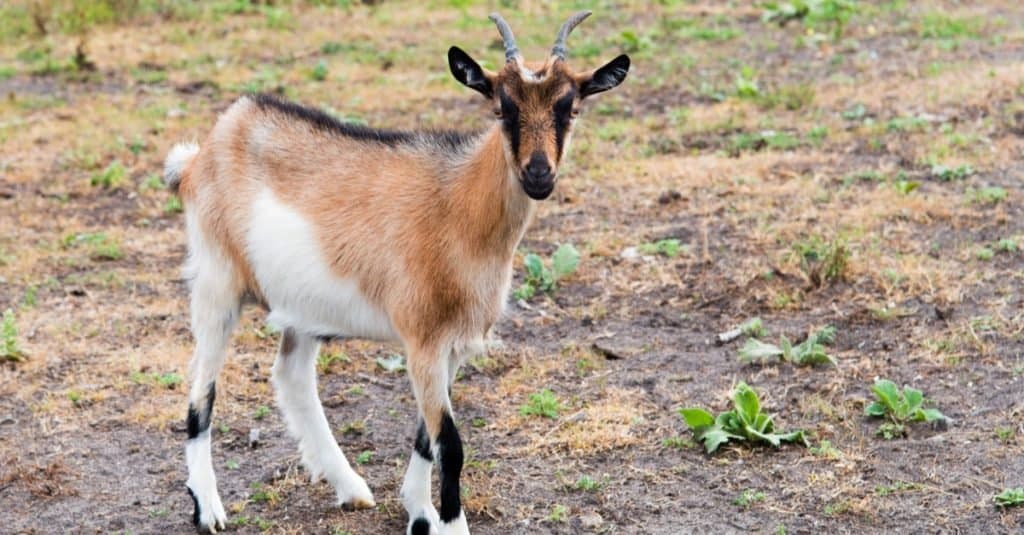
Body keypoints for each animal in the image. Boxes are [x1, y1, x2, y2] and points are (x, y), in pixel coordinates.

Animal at [163, 10, 626, 528]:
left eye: (571, 107)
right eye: (501, 107)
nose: (539, 175)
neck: (458, 210)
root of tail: (204, 151)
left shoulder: (452, 346)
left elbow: (427, 437)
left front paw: (419, 513)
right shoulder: (422, 340)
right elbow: (451, 445)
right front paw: (449, 524)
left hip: (301, 305)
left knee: (292, 375)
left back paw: (349, 486)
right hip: (216, 282)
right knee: (202, 393)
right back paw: (208, 509)